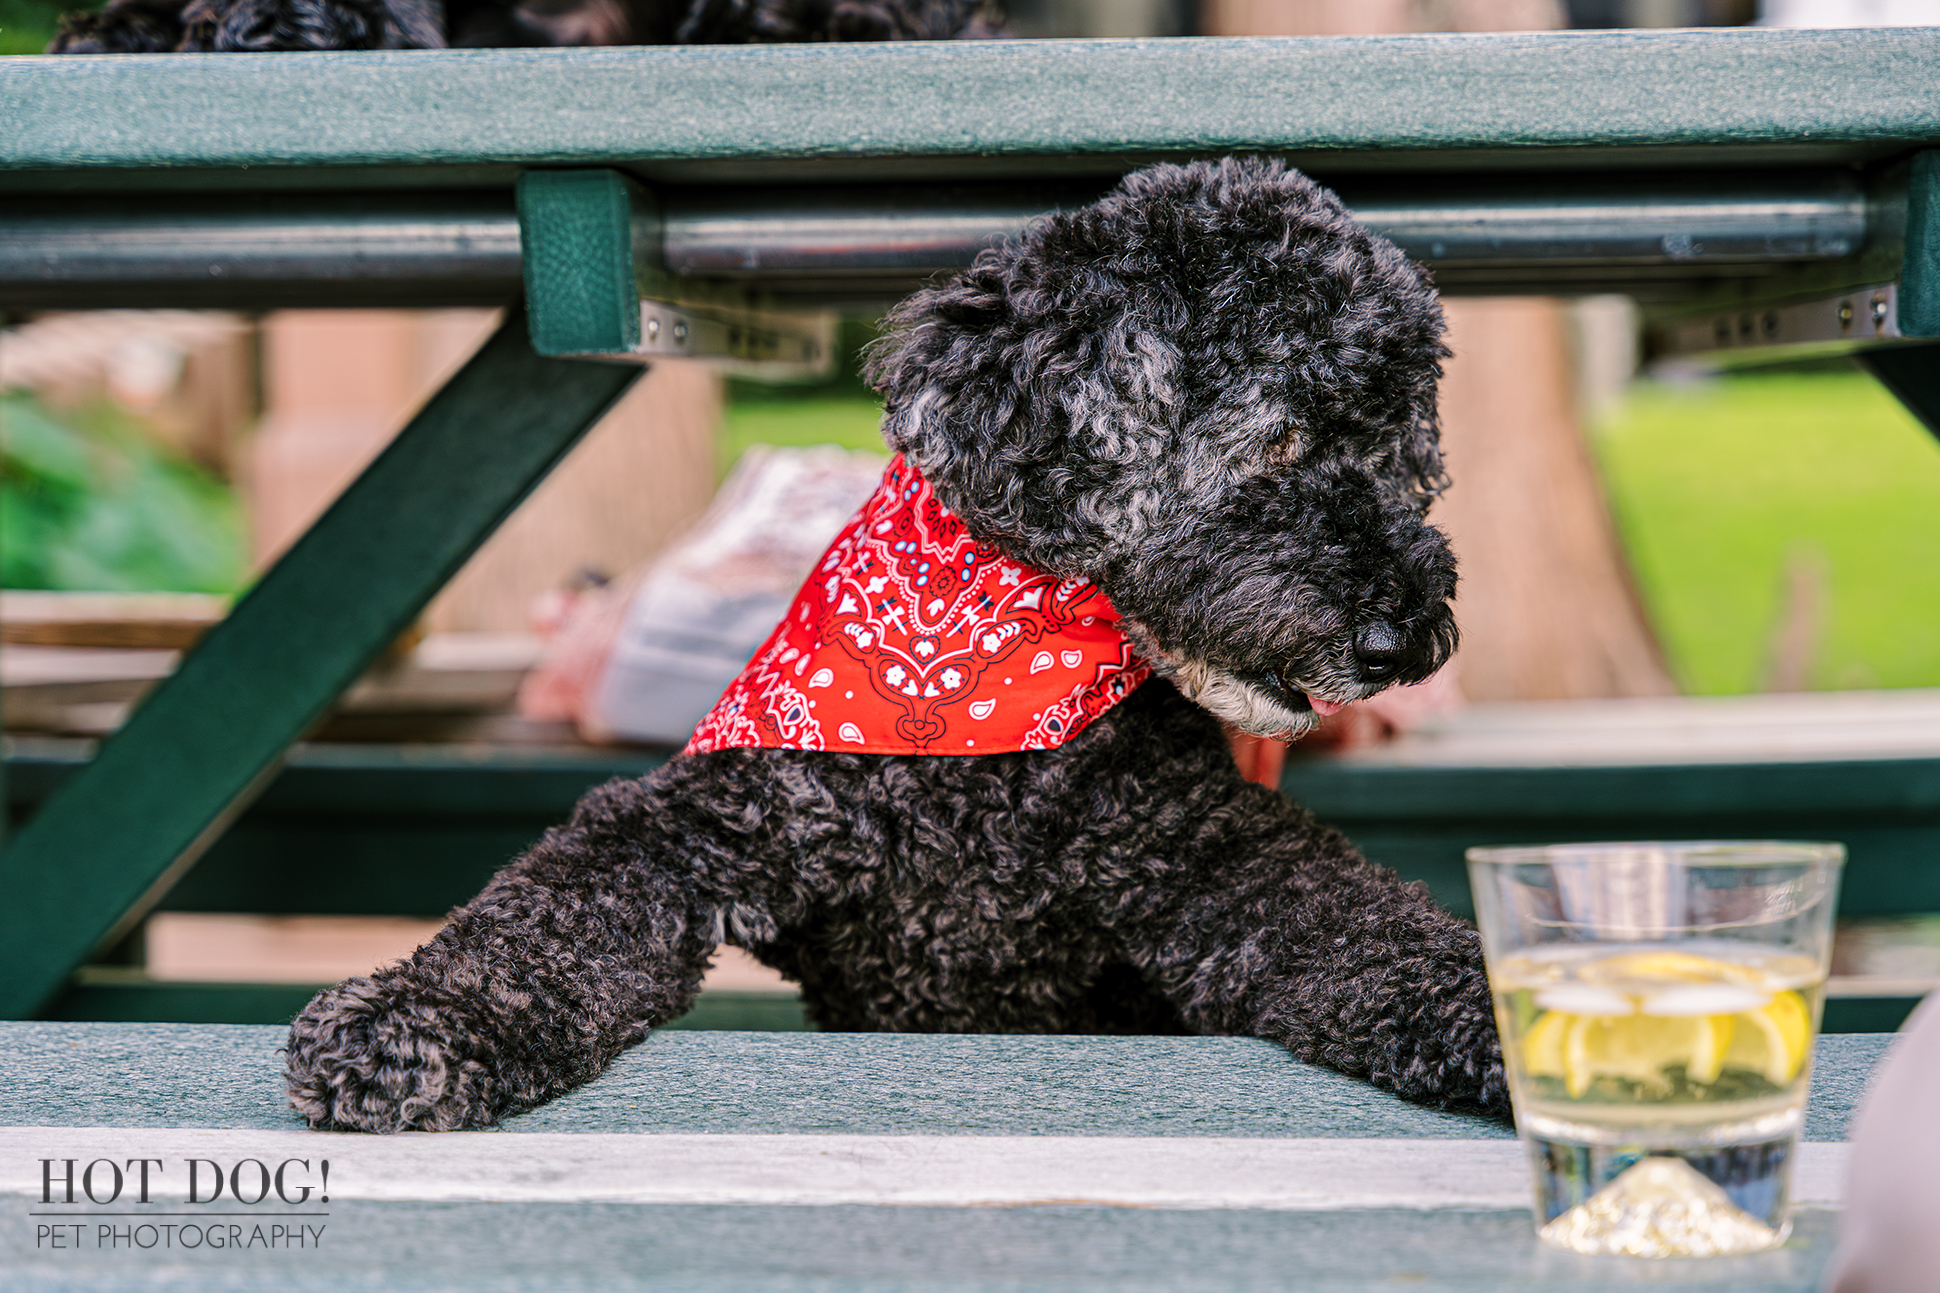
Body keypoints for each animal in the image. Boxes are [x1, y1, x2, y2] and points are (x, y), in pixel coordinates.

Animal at [283, 158, 1497, 1126]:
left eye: (1402, 459)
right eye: (1281, 439)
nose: (1406, 640)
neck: (977, 698)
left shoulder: (1211, 857)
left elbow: (1366, 931)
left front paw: (1498, 1013)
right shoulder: (697, 823)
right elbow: (546, 914)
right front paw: (413, 1019)